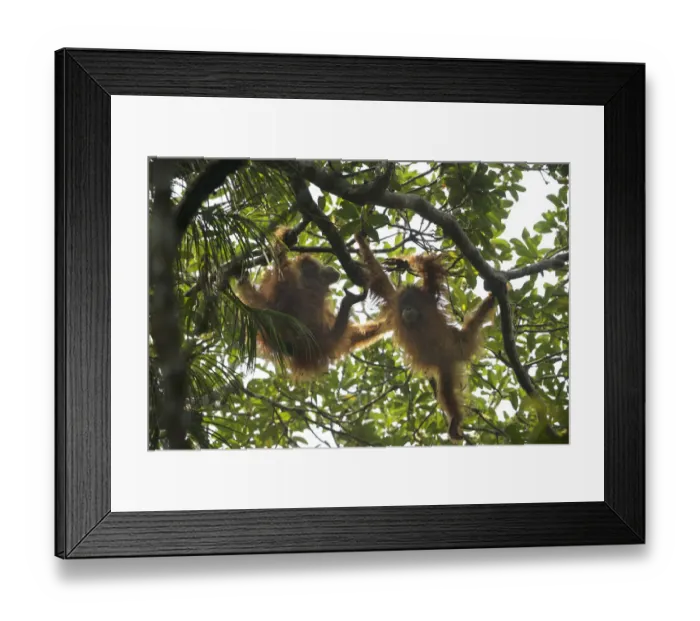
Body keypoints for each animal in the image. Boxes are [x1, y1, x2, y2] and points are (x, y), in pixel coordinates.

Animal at [354, 232, 498, 442]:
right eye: (404, 304)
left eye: (412, 303)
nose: (407, 309)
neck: (417, 321)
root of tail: (461, 343)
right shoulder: (393, 303)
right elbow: (380, 279)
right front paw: (362, 240)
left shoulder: (429, 296)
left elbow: (430, 269)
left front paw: (403, 262)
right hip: (447, 365)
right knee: (446, 392)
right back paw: (455, 420)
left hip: (453, 353)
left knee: (446, 391)